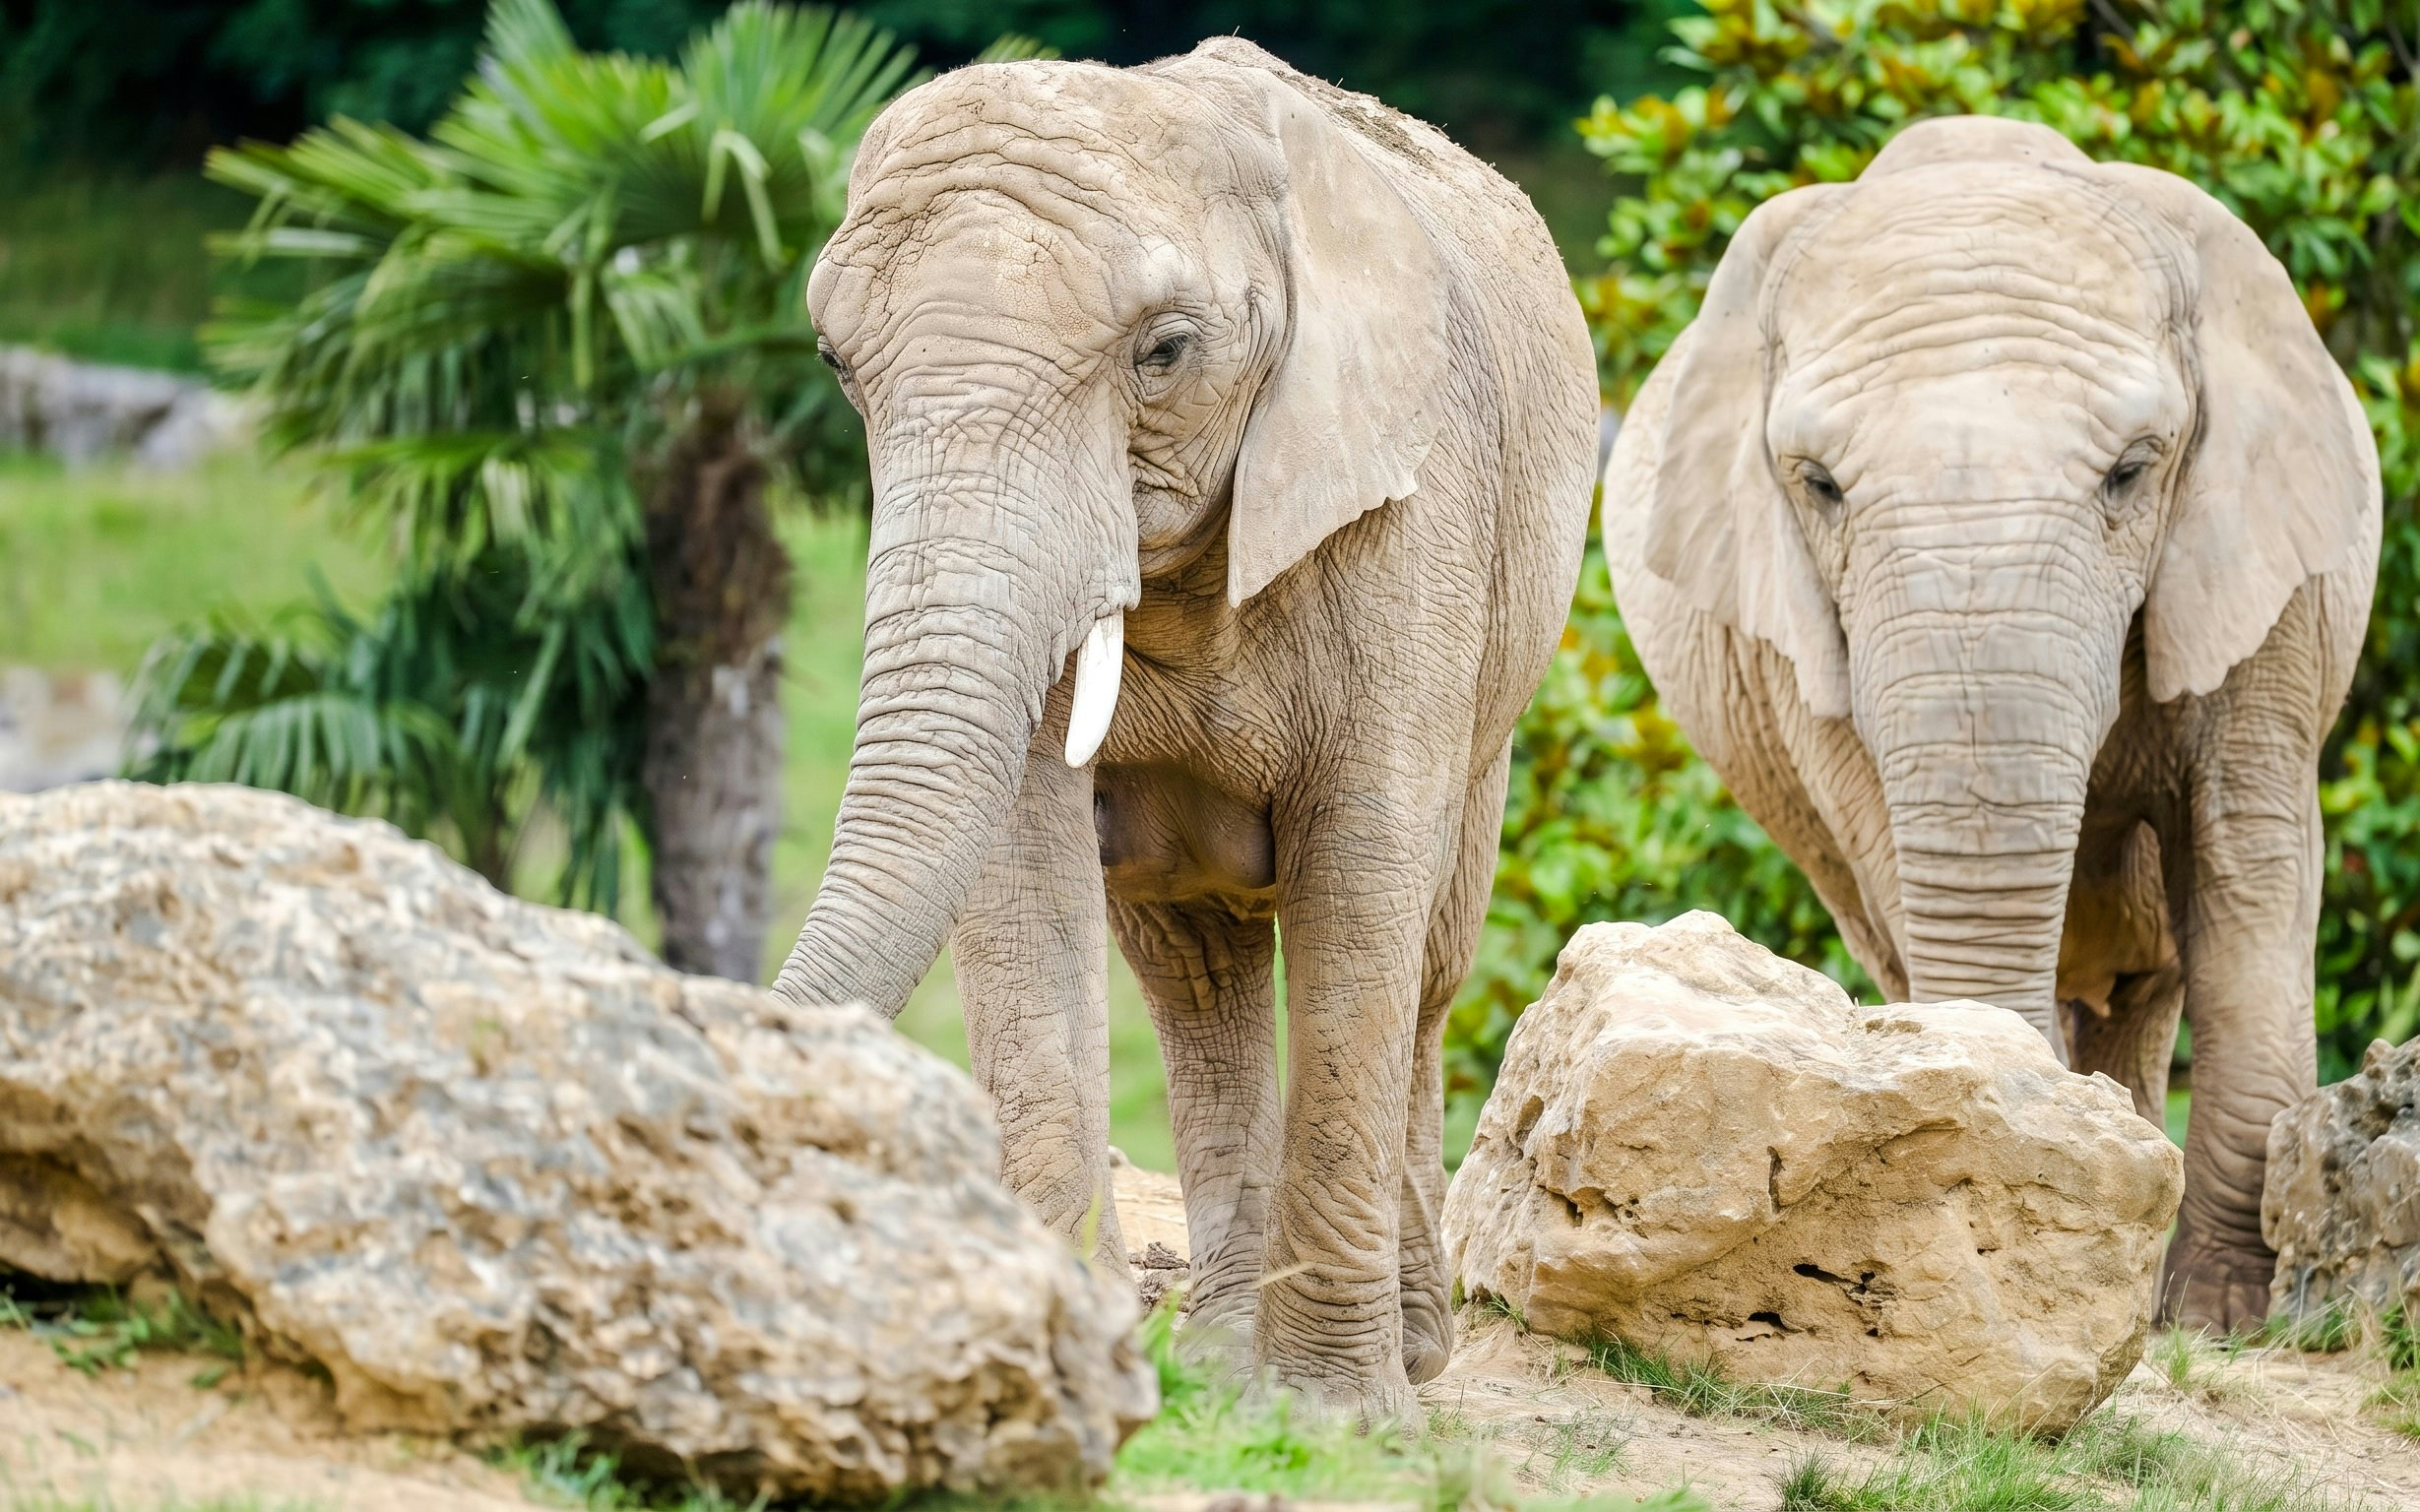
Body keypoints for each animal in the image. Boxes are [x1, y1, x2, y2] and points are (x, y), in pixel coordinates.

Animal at [770, 38, 1598, 1412]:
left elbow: (1363, 879)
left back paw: (1408, 1354)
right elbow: (1022, 872)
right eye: (836, 362)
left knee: (1428, 961)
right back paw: (1218, 1364)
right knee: (1194, 968)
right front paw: (1062, 1373)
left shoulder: (1410, 505)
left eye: (1162, 353)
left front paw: (1336, 1415)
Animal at [1604, 115, 2382, 1332]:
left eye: (2131, 472)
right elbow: (1893, 847)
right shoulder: (1798, 641)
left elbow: (2248, 867)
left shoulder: (2268, 582)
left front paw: (2222, 1317)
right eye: (1818, 485)